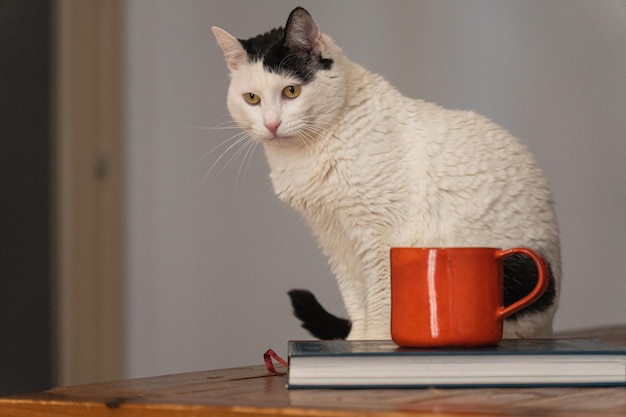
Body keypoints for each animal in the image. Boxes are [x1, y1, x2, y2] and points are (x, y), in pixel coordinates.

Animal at [212, 7, 560, 342]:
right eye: (252, 98)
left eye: (291, 91)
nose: (271, 124)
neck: (308, 152)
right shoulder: (335, 238)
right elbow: (355, 296)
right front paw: (356, 340)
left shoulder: (380, 238)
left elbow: (381, 299)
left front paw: (377, 341)